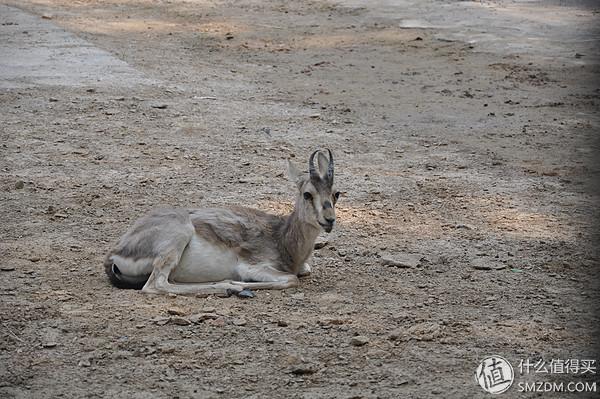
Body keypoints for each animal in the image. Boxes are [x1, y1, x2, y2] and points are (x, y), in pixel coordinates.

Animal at [102, 150, 338, 296]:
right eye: (307, 194)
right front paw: (238, 284)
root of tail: (113, 253)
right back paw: (228, 287)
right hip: (177, 239)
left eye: (336, 193)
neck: (282, 238)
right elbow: (290, 279)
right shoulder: (252, 266)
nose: (329, 220)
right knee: (155, 285)